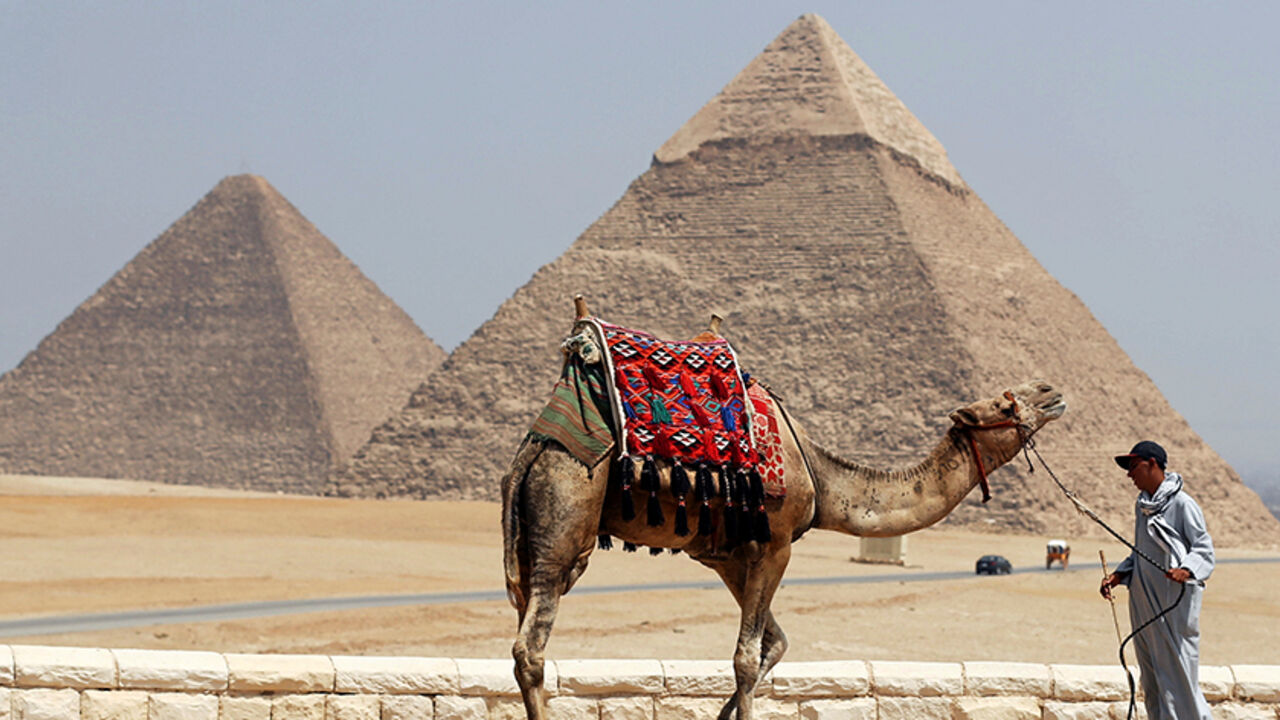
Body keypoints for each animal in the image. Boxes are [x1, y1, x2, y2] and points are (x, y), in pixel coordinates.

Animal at [501, 314, 1066, 720]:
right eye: (1004, 404)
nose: (1050, 390)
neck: (822, 479)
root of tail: (531, 450)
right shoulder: (776, 544)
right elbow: (747, 658)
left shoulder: (728, 556)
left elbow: (773, 644)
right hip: (566, 518)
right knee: (530, 647)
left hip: (532, 540)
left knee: (525, 635)